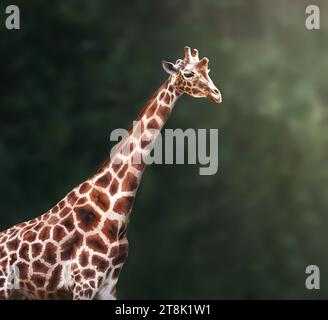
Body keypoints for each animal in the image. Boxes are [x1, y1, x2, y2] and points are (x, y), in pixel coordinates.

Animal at [0, 47, 223, 300]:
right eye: (187, 73)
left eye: (207, 71)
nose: (216, 94)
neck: (114, 211)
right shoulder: (84, 281)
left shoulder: (108, 285)